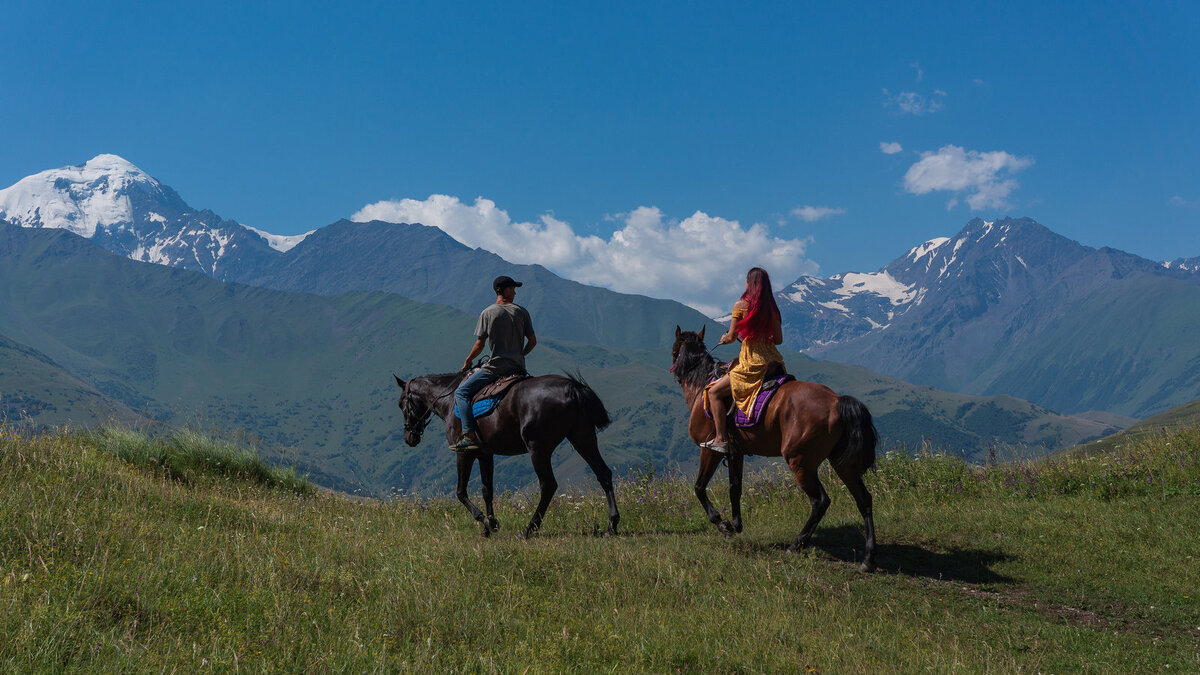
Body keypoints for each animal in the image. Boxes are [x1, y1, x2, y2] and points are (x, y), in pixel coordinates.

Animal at [396, 367, 619, 535]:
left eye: (401, 404)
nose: (409, 437)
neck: (450, 399)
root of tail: (573, 387)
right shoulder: (485, 454)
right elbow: (487, 490)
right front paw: (490, 526)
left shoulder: (464, 453)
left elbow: (461, 492)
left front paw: (484, 520)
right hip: (583, 438)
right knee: (603, 473)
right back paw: (612, 524)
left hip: (538, 448)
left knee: (548, 485)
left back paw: (529, 529)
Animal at [672, 324, 878, 566]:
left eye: (674, 349)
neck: (702, 384)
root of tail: (837, 401)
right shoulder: (736, 453)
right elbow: (735, 488)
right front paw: (736, 524)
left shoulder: (709, 450)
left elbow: (699, 487)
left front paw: (722, 524)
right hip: (841, 463)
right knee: (863, 498)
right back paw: (868, 558)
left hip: (800, 462)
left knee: (820, 501)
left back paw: (797, 544)